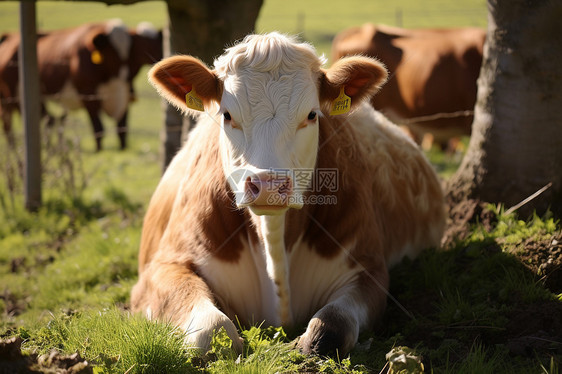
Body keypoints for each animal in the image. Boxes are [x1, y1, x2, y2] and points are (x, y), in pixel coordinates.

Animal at [0, 19, 162, 150]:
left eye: (133, 48)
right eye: (143, 45)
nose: (159, 57)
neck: (113, 77)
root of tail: (10, 36)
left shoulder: (125, 94)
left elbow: (122, 129)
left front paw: (122, 149)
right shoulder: (88, 95)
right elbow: (99, 129)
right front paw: (99, 151)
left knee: (47, 121)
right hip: (11, 96)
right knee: (9, 123)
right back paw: (14, 148)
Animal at [131, 32, 446, 356]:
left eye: (312, 114)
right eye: (227, 115)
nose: (268, 185)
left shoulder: (368, 268)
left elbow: (329, 328)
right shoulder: (163, 268)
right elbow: (212, 329)